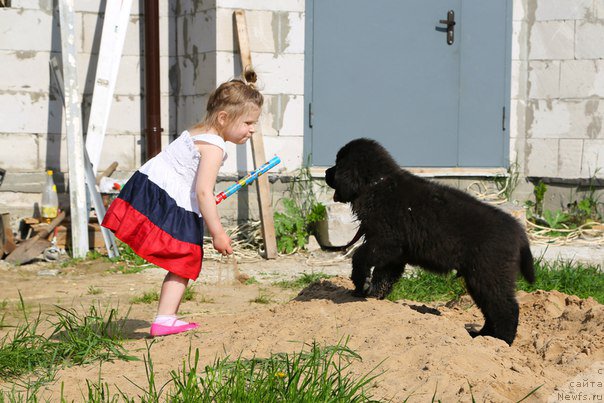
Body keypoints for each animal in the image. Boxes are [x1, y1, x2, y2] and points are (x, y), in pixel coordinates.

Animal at [326, 138, 532, 344]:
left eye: (337, 163)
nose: (327, 172)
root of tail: (519, 232)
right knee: (490, 309)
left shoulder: (386, 241)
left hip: (489, 274)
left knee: (506, 309)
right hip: (478, 278)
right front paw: (374, 296)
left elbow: (359, 257)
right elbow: (383, 276)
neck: (377, 184)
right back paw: (482, 336)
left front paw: (360, 284)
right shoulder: (395, 254)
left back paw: (502, 341)